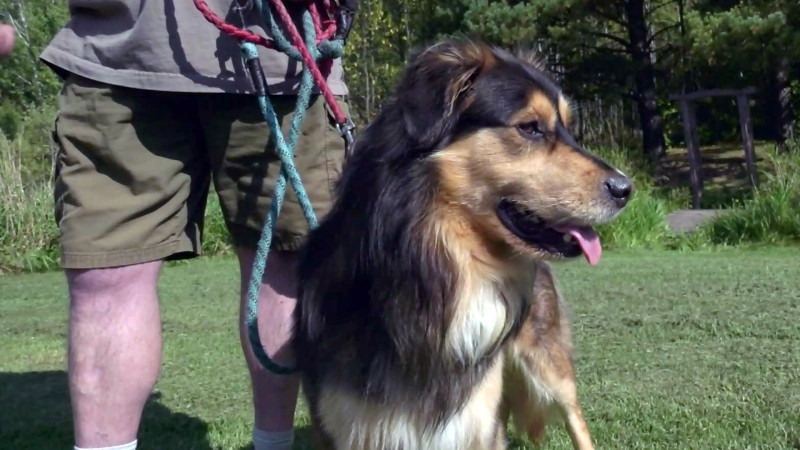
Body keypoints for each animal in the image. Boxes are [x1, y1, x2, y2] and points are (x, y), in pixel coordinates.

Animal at [290, 37, 636, 450]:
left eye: (567, 129)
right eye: (530, 128)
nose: (626, 189)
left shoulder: (474, 420)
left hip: (548, 364)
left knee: (575, 418)